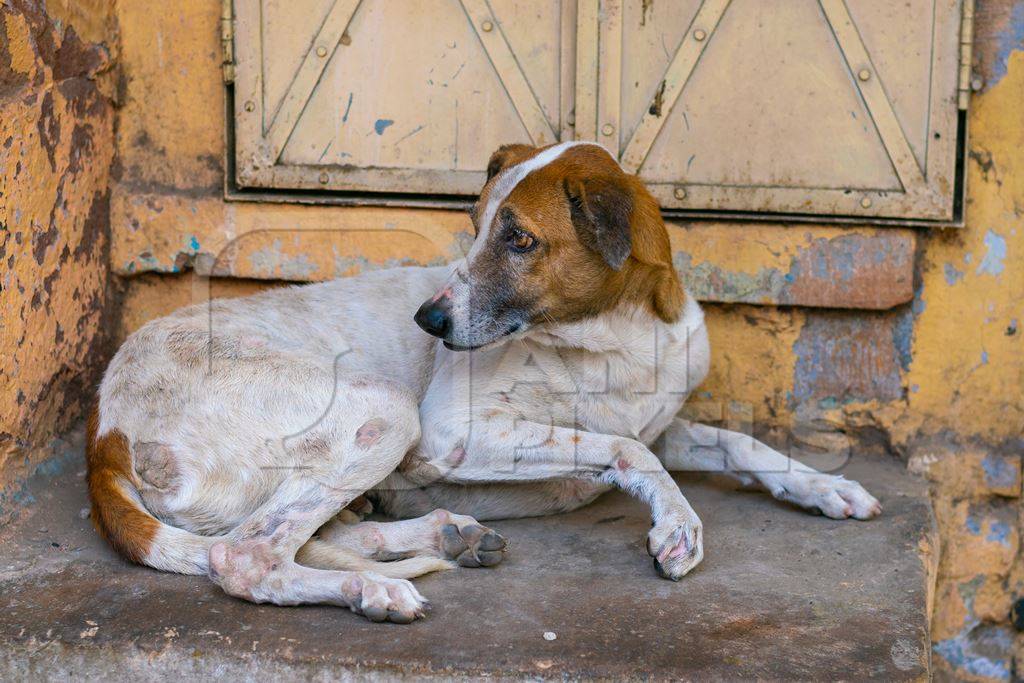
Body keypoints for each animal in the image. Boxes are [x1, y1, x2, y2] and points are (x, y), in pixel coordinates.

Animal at [88, 141, 880, 622]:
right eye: (474, 226)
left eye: (519, 238)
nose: (428, 319)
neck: (613, 341)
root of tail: (104, 428)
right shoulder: (454, 432)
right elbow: (628, 452)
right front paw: (677, 521)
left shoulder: (659, 419)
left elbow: (737, 442)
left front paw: (825, 486)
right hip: (386, 412)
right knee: (247, 554)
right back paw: (373, 587)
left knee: (309, 532)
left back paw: (442, 535)